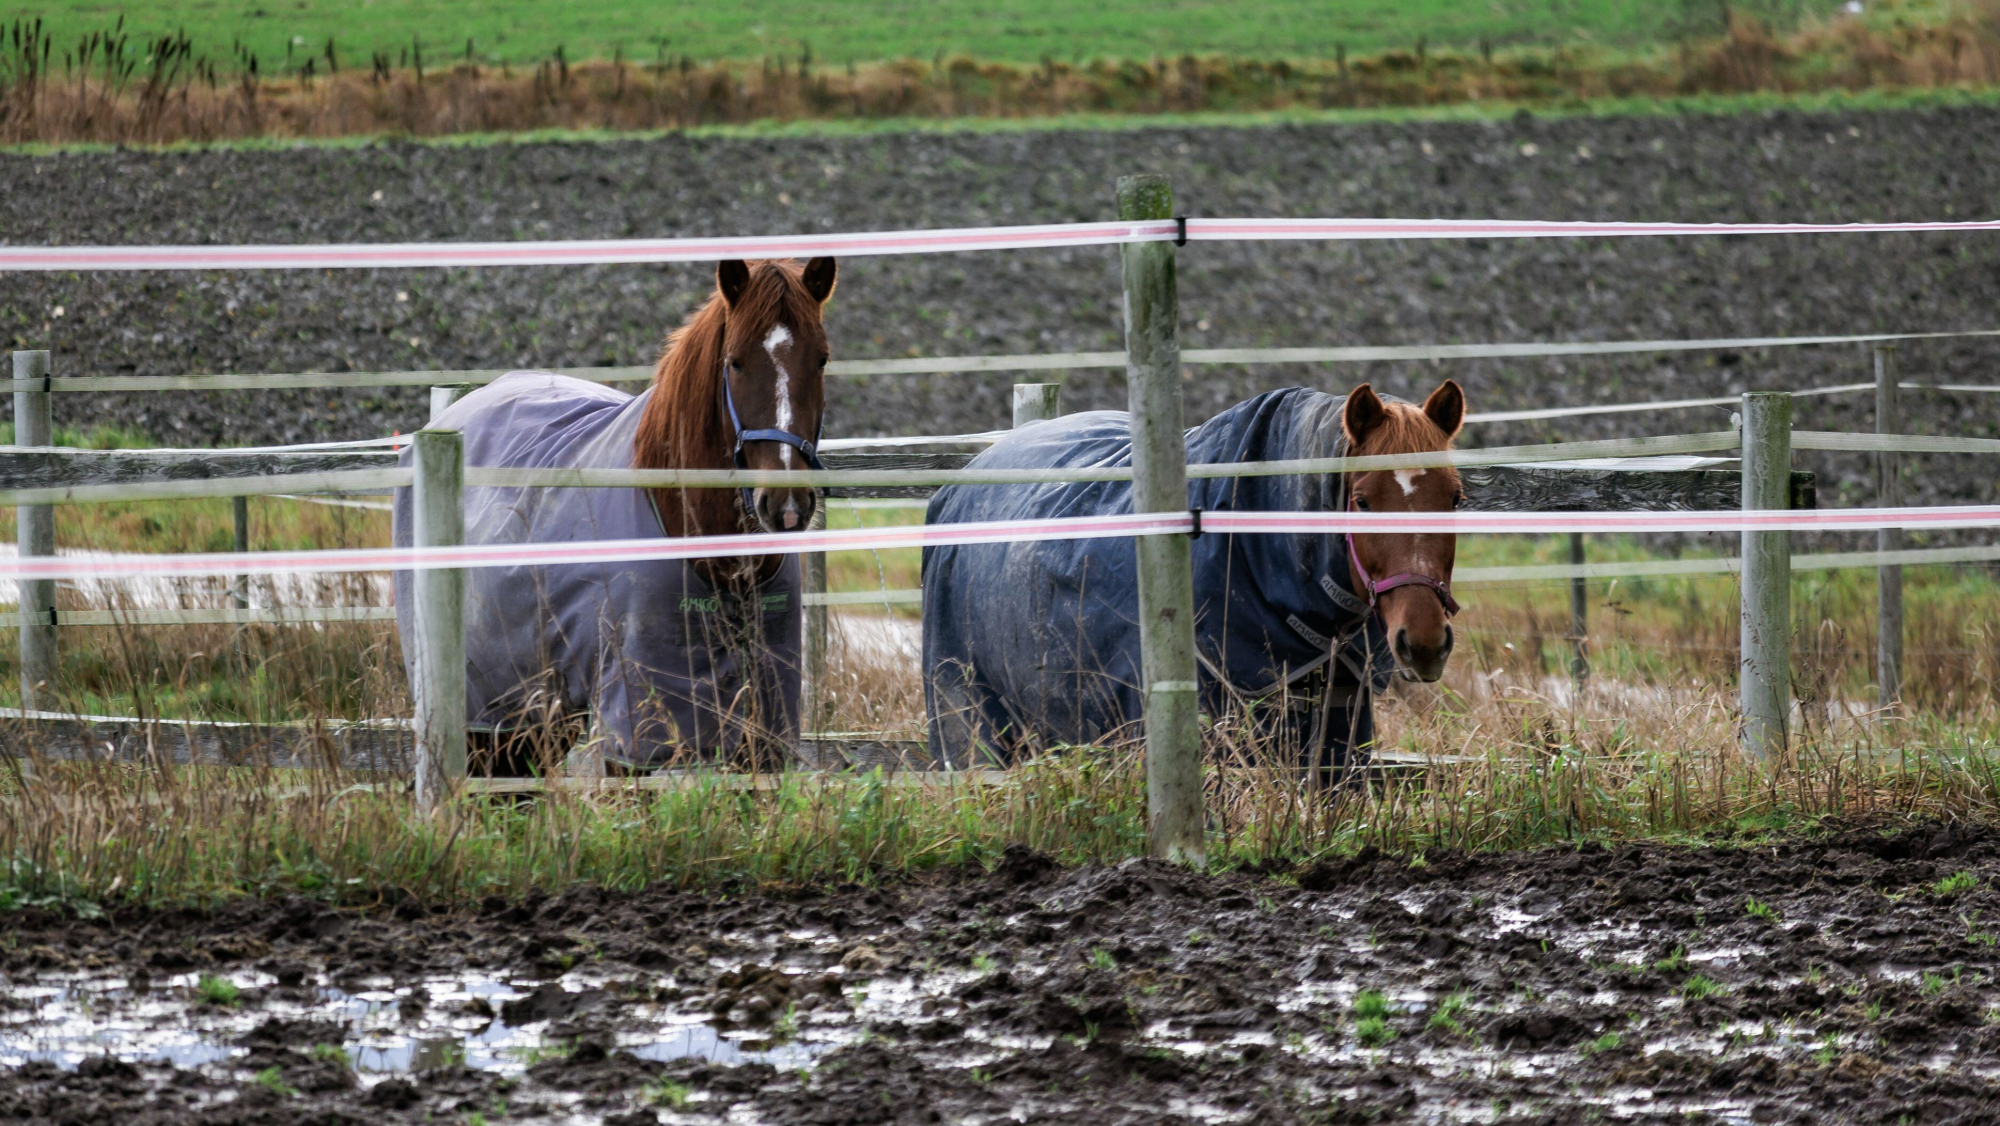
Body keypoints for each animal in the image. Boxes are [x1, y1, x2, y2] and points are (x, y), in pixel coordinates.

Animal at [392, 257, 838, 773]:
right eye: (736, 362)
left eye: (821, 359)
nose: (785, 504)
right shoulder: (632, 730)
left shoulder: (764, 739)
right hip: (481, 711)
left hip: (534, 719)